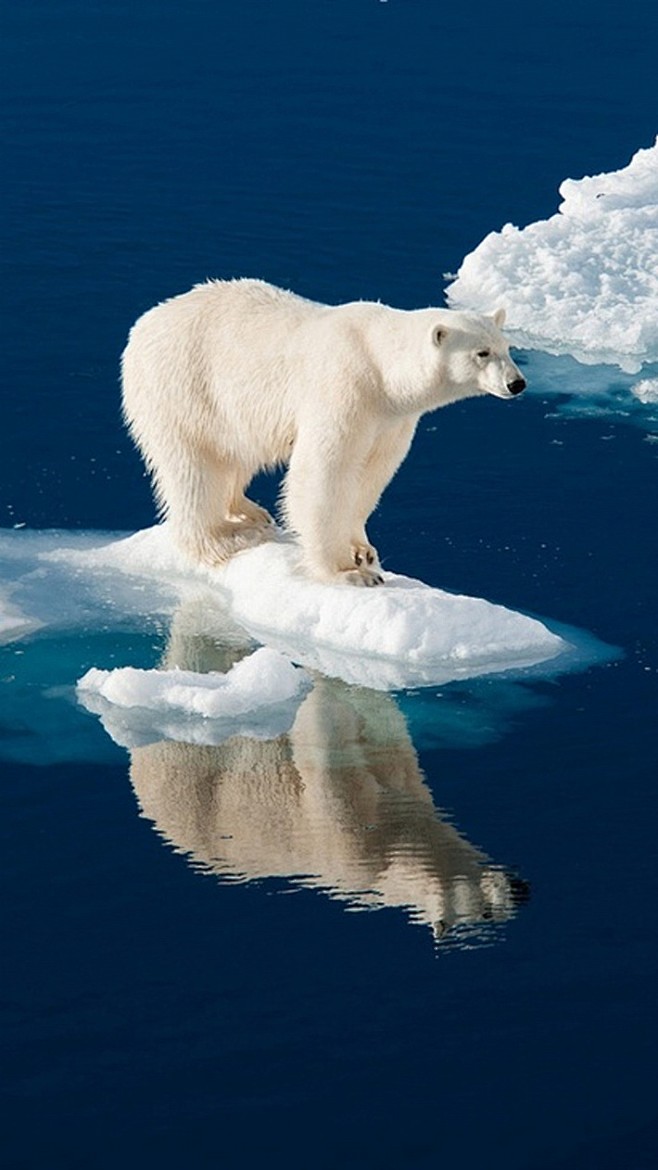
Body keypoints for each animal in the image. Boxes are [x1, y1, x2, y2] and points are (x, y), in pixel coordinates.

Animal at [121, 274, 522, 585]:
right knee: (195, 469)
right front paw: (350, 572)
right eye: (482, 353)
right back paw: (225, 539)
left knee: (238, 452)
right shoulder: (346, 389)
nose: (517, 384)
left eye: (507, 347)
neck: (381, 368)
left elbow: (372, 474)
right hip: (183, 387)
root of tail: (143, 324)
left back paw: (250, 511)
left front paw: (363, 550)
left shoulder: (391, 419)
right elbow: (324, 473)